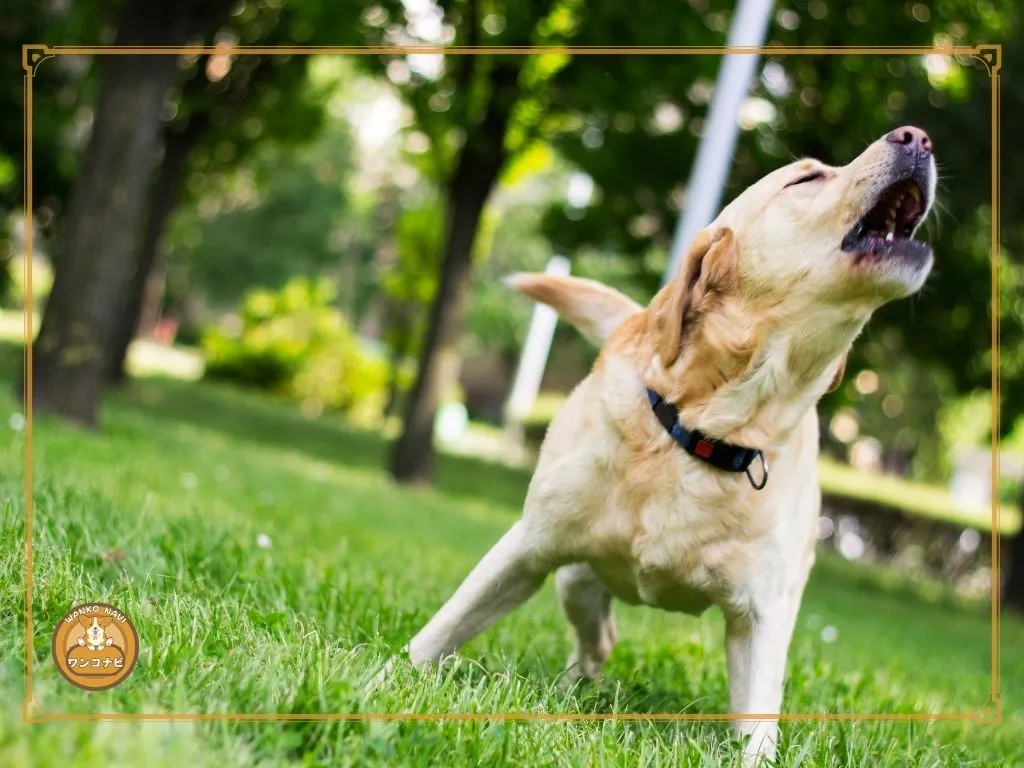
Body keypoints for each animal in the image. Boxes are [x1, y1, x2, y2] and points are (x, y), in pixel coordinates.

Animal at [399, 126, 937, 765]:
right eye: (806, 178)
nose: (918, 137)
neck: (708, 434)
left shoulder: (764, 616)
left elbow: (758, 728)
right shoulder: (528, 546)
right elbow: (441, 629)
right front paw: (396, 676)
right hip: (574, 576)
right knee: (595, 631)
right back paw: (574, 687)